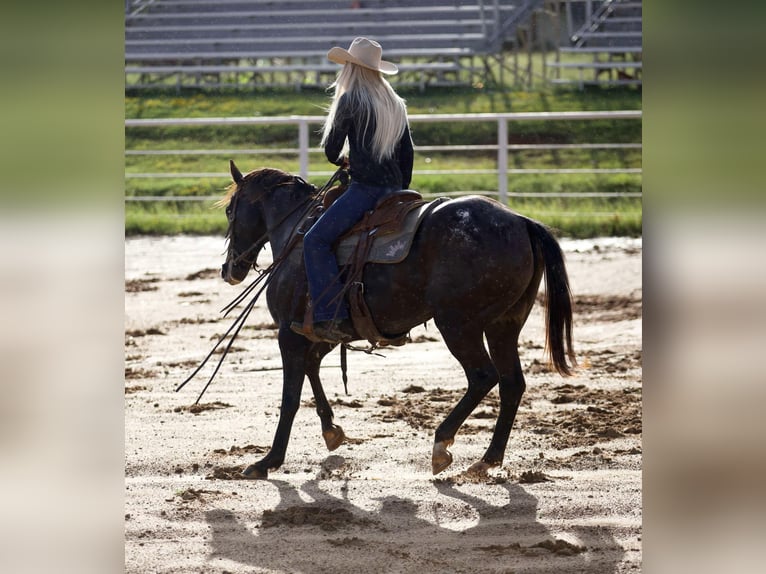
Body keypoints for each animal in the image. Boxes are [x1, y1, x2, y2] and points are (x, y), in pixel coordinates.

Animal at [220, 161, 575, 479]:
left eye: (230, 212)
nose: (229, 269)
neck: (298, 234)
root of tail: (522, 221)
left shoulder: (288, 334)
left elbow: (290, 397)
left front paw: (268, 461)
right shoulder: (323, 334)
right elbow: (312, 368)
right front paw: (331, 430)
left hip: (458, 325)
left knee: (483, 376)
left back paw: (442, 443)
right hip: (503, 325)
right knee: (512, 383)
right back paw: (487, 460)